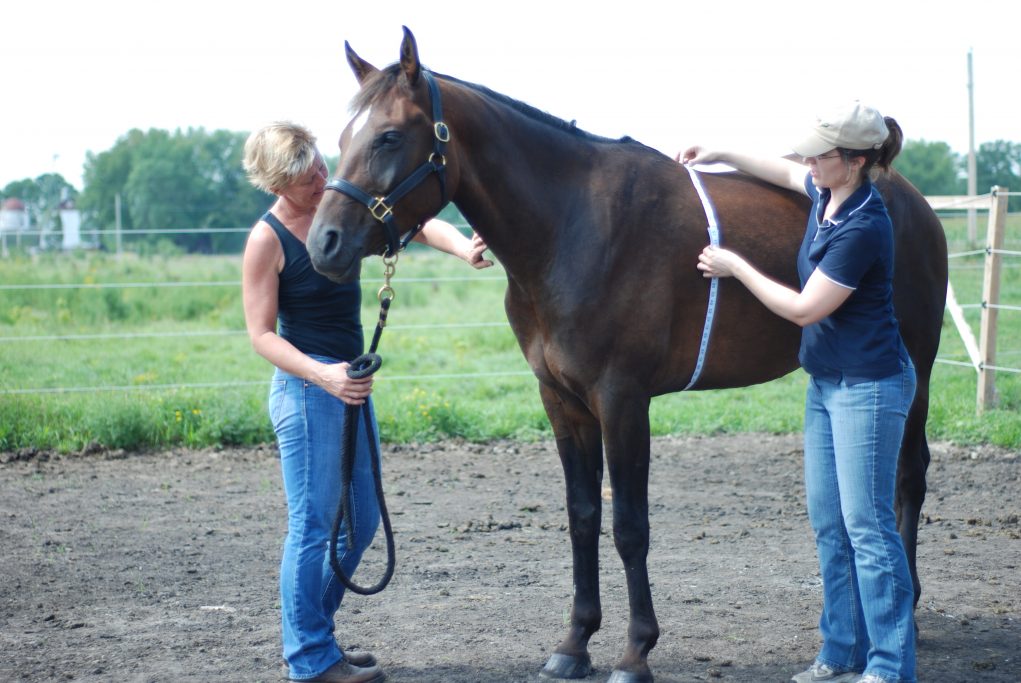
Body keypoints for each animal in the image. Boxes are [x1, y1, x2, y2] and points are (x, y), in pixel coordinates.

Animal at [304, 26, 947, 681]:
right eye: (342, 137)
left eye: (388, 136)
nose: (322, 243)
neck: (570, 229)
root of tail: (909, 195)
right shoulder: (562, 401)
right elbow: (583, 517)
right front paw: (574, 643)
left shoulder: (622, 400)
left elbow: (629, 527)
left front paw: (636, 650)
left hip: (916, 371)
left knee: (907, 477)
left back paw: (908, 611)